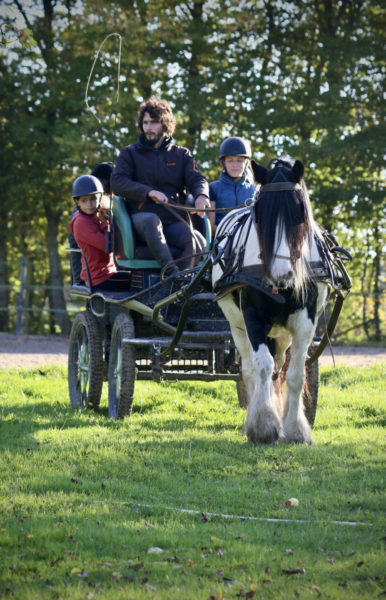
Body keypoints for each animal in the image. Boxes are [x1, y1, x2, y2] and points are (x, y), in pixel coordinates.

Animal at [211, 159, 328, 446]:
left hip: (282, 333)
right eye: (261, 213)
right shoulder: (253, 317)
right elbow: (262, 366)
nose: (280, 275)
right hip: (236, 325)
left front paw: (296, 429)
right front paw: (263, 426)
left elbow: (295, 373)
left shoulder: (306, 321)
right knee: (251, 368)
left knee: (280, 366)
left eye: (300, 212)